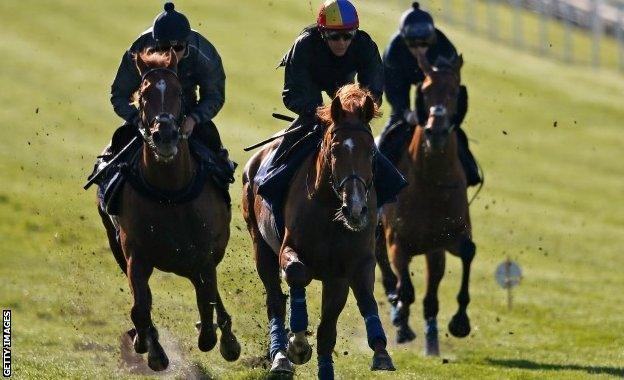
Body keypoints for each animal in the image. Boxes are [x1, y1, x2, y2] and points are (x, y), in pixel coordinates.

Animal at [96, 48, 240, 372]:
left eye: (178, 92)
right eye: (144, 94)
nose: (165, 135)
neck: (170, 192)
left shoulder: (203, 256)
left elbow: (207, 304)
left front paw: (216, 337)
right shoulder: (135, 255)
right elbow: (140, 307)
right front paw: (151, 347)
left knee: (210, 297)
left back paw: (227, 338)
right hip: (117, 244)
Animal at [243, 84, 394, 378]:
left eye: (371, 151)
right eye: (335, 150)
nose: (355, 209)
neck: (330, 210)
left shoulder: (344, 271)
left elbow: (339, 319)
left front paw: (379, 351)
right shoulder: (288, 249)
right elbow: (295, 272)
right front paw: (298, 343)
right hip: (260, 245)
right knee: (275, 299)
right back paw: (280, 355)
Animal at [376, 52, 478, 356]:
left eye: (455, 91)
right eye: (425, 90)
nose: (436, 131)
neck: (432, 181)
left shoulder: (447, 239)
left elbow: (468, 252)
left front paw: (460, 322)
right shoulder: (397, 243)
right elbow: (404, 288)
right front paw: (402, 325)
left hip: (433, 252)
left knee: (429, 295)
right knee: (389, 275)